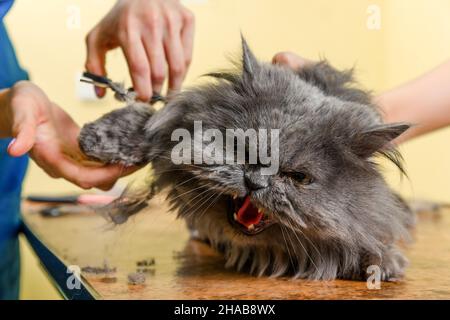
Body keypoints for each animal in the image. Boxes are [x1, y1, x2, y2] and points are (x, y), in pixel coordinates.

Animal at [79, 38, 414, 280]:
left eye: (299, 178)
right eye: (242, 149)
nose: (254, 182)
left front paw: (382, 263)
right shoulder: (172, 116)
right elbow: (146, 123)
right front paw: (96, 138)